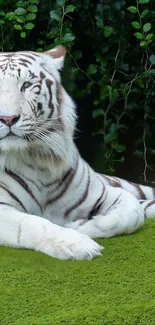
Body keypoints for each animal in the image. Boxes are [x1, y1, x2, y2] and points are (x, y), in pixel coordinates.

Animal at [0, 45, 154, 260]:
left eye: (27, 85)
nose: (7, 118)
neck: (38, 160)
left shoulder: (103, 193)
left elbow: (132, 213)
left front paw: (79, 226)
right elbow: (34, 224)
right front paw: (77, 243)